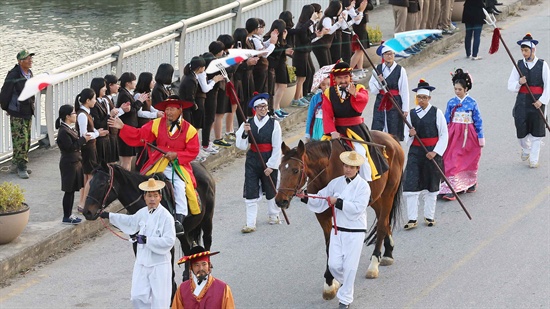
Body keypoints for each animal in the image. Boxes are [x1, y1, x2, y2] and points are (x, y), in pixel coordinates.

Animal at [276, 132, 406, 298]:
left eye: (295, 170)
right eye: (280, 169)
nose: (280, 201)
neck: (326, 171)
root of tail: (390, 137)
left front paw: (331, 280)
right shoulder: (323, 216)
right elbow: (329, 246)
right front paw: (331, 281)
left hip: (389, 192)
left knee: (382, 224)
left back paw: (374, 263)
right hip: (376, 197)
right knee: (384, 220)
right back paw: (388, 251)